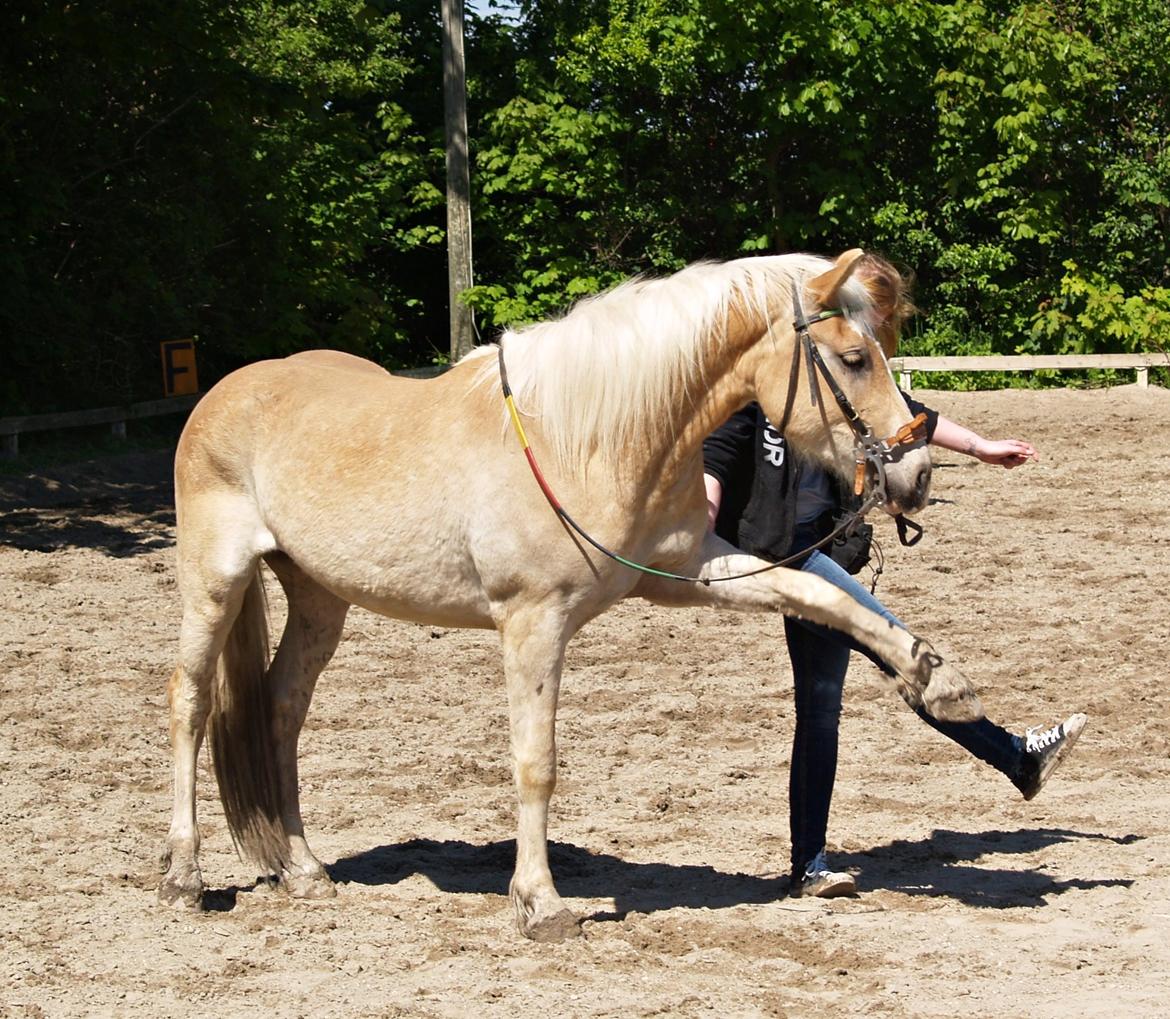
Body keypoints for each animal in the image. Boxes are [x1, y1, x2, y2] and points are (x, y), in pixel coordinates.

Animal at [160, 246, 982, 940]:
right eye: (854, 357)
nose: (915, 474)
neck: (588, 439)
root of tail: (224, 392)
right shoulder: (534, 621)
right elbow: (537, 760)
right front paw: (541, 903)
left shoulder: (690, 570)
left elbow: (823, 596)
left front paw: (936, 678)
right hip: (214, 582)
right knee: (191, 702)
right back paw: (184, 875)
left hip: (320, 598)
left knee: (279, 708)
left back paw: (303, 869)